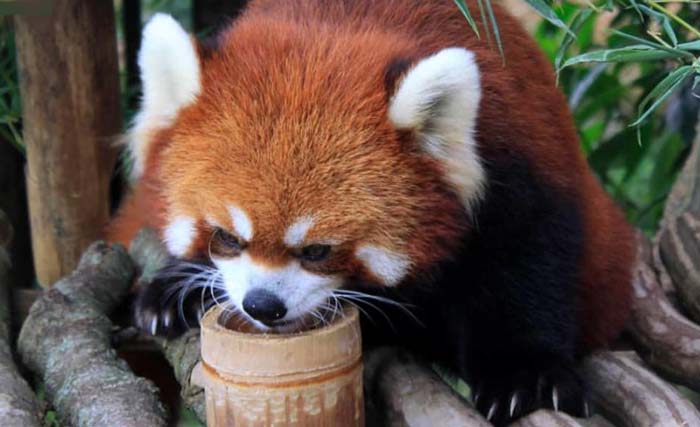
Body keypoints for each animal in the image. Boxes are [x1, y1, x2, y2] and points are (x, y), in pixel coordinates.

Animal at [106, 0, 636, 424]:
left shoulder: (520, 164)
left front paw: (526, 374)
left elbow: (526, 266)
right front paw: (176, 289)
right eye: (227, 237)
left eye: (318, 251)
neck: (338, 22)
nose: (262, 306)